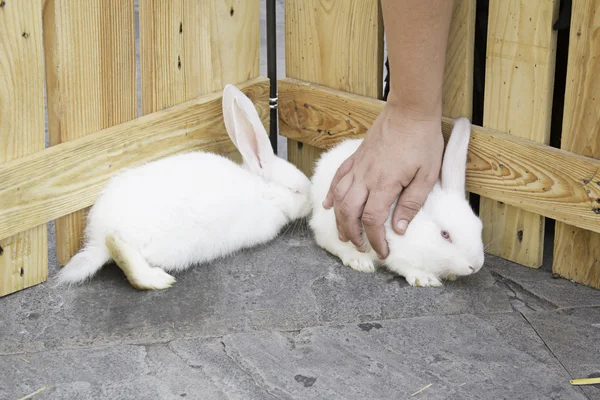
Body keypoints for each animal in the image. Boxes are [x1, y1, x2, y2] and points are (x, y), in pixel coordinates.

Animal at [55, 84, 314, 290]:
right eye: (295, 191)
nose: (311, 204)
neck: (264, 192)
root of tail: (97, 239)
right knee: (123, 251)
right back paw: (157, 280)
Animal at [310, 117, 482, 286]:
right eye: (445, 234)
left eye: (479, 226)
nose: (476, 266)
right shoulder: (393, 249)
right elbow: (404, 265)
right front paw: (425, 279)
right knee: (328, 242)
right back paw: (360, 261)